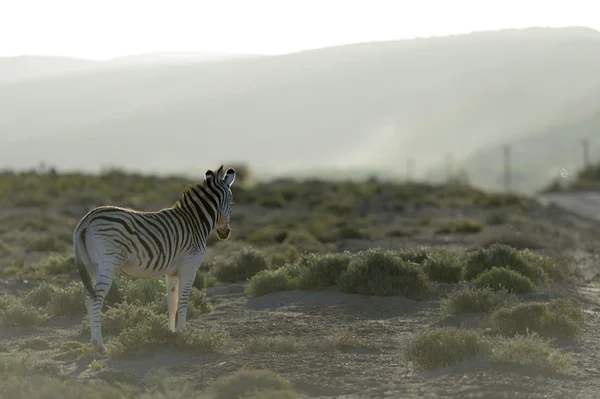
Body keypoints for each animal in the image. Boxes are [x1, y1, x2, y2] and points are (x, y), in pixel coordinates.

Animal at [73, 167, 237, 354]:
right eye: (232, 202)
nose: (226, 234)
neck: (195, 222)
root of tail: (87, 218)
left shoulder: (172, 273)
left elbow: (172, 303)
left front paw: (171, 333)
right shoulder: (189, 265)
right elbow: (183, 300)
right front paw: (184, 334)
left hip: (91, 266)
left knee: (88, 298)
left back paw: (93, 341)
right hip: (107, 264)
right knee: (95, 300)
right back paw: (100, 345)